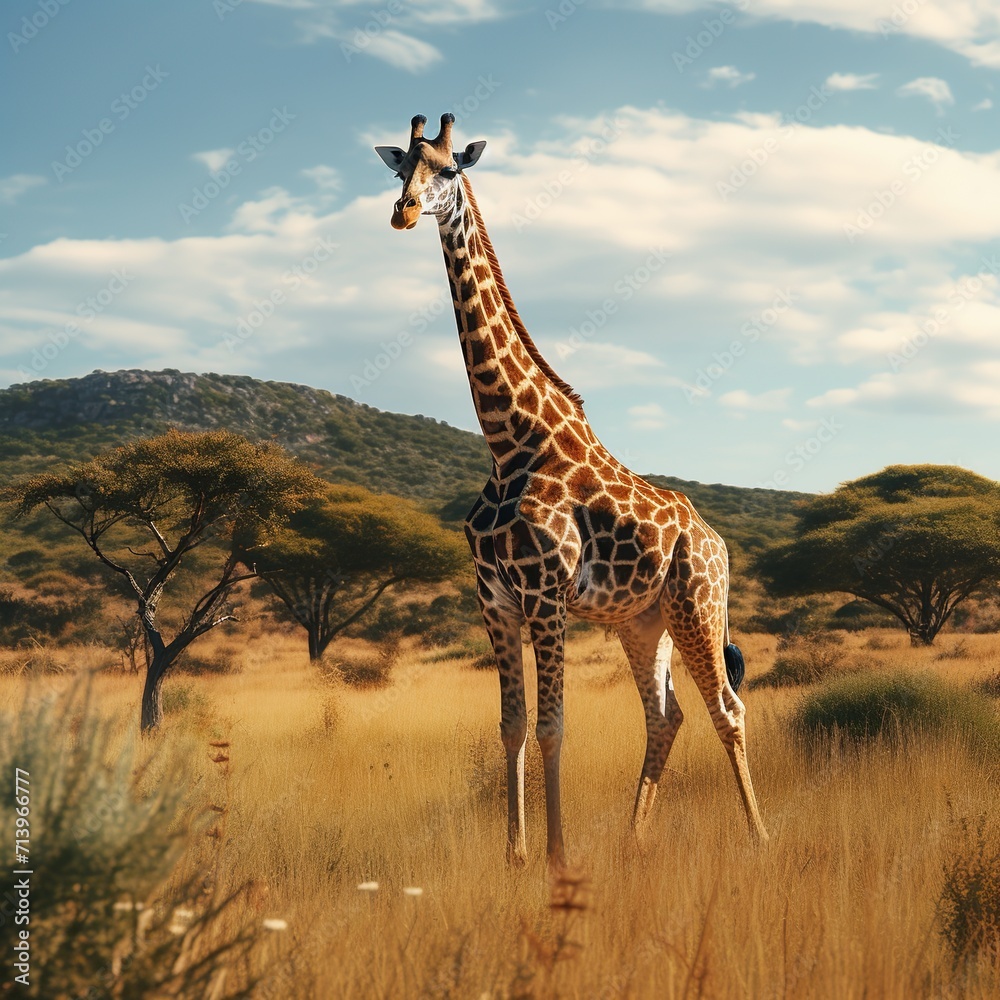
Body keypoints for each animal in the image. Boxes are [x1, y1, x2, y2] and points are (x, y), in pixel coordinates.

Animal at [375, 114, 767, 867]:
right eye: (400, 167)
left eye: (448, 170)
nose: (403, 212)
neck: (509, 440)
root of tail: (719, 542)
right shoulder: (494, 599)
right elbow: (511, 724)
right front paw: (515, 857)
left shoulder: (545, 593)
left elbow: (554, 724)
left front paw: (556, 861)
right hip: (642, 621)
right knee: (666, 713)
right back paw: (632, 839)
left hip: (697, 605)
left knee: (726, 708)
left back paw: (761, 837)